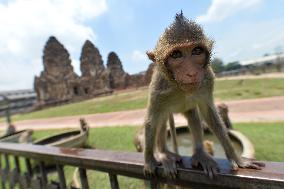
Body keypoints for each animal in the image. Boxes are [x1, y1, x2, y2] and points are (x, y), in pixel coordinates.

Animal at [142, 12, 264, 179]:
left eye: (197, 51)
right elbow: (152, 121)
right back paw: (164, 153)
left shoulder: (207, 79)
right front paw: (149, 160)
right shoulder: (159, 88)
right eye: (176, 54)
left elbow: (210, 114)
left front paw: (236, 158)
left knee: (193, 116)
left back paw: (200, 154)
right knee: (161, 120)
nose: (192, 73)